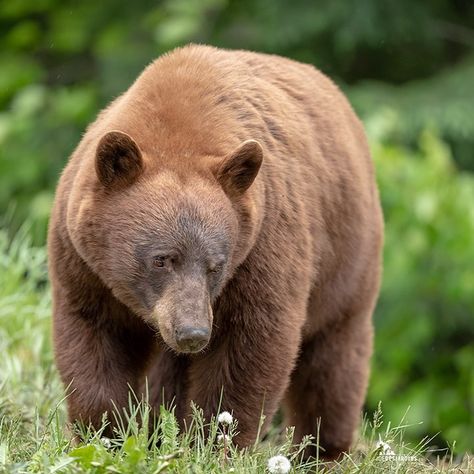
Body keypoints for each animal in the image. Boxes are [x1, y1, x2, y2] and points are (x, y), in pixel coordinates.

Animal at [47, 43, 382, 460]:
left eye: (215, 265)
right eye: (161, 259)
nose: (193, 333)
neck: (179, 131)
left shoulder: (261, 242)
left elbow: (250, 342)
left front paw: (215, 444)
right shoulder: (83, 262)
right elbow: (94, 334)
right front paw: (105, 435)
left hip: (347, 260)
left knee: (332, 362)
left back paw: (322, 450)